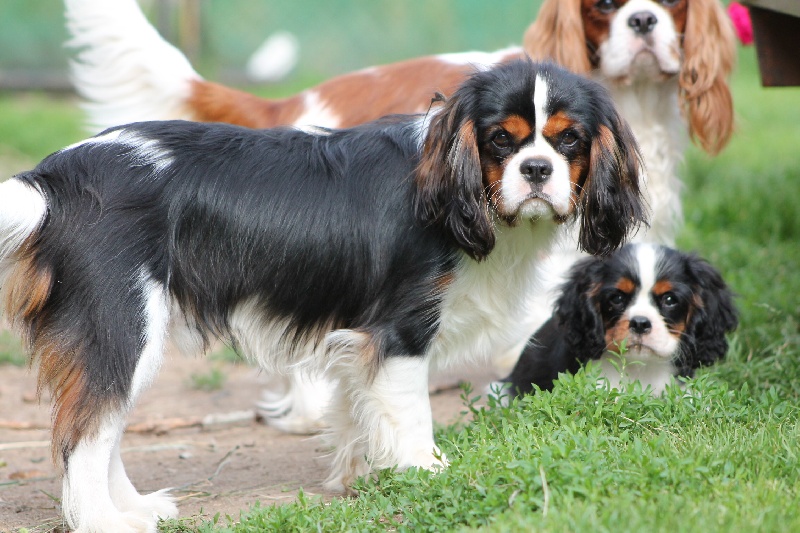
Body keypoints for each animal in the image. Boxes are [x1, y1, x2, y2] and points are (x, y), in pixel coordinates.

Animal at [0, 60, 644, 528]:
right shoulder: (400, 332)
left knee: (102, 427)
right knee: (84, 435)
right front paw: (427, 471)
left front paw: (362, 477)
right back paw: (103, 519)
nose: (537, 169)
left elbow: (359, 410)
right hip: (122, 325)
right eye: (499, 141)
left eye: (568, 141)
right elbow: (411, 413)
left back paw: (134, 508)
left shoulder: (357, 339)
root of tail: (51, 182)